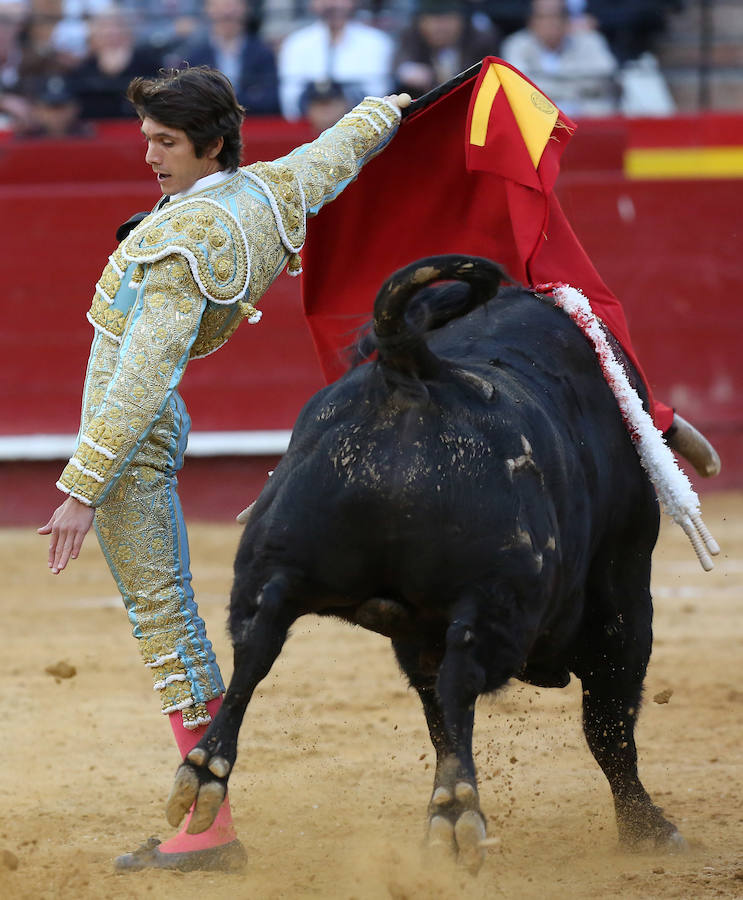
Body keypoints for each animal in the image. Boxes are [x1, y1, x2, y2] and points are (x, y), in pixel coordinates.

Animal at [167, 255, 684, 872]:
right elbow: (608, 724)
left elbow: (443, 722)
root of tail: (410, 367)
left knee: (256, 645)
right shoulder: (624, 597)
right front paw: (645, 829)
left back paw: (204, 772)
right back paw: (460, 813)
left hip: (277, 558)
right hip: (497, 597)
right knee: (464, 677)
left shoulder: (413, 634)